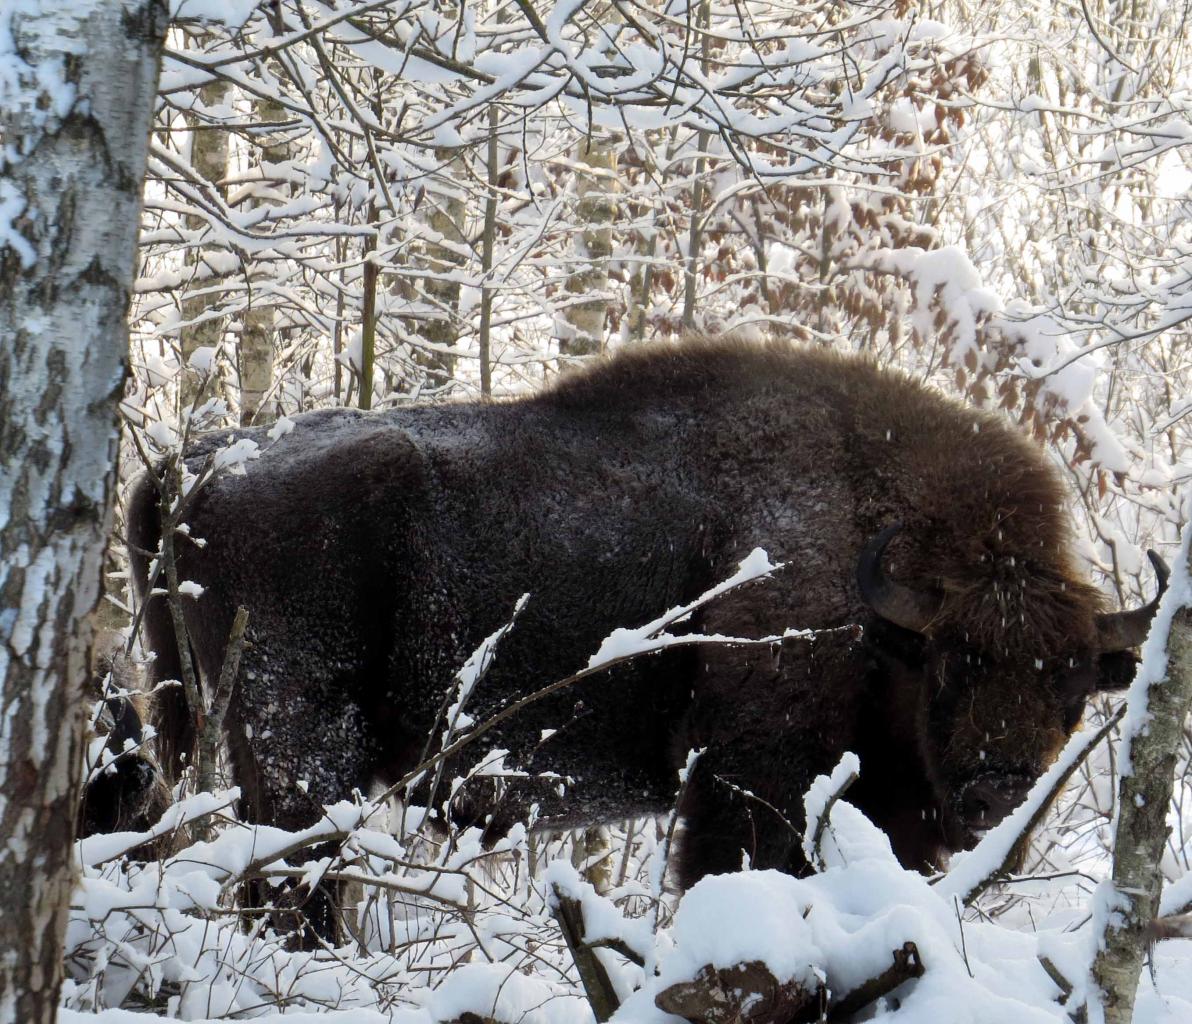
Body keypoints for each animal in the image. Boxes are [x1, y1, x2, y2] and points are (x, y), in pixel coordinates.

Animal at [109, 338, 1153, 896]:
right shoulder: (745, 788)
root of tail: (190, 463)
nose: (997, 793)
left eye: (1072, 690)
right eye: (948, 668)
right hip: (302, 758)